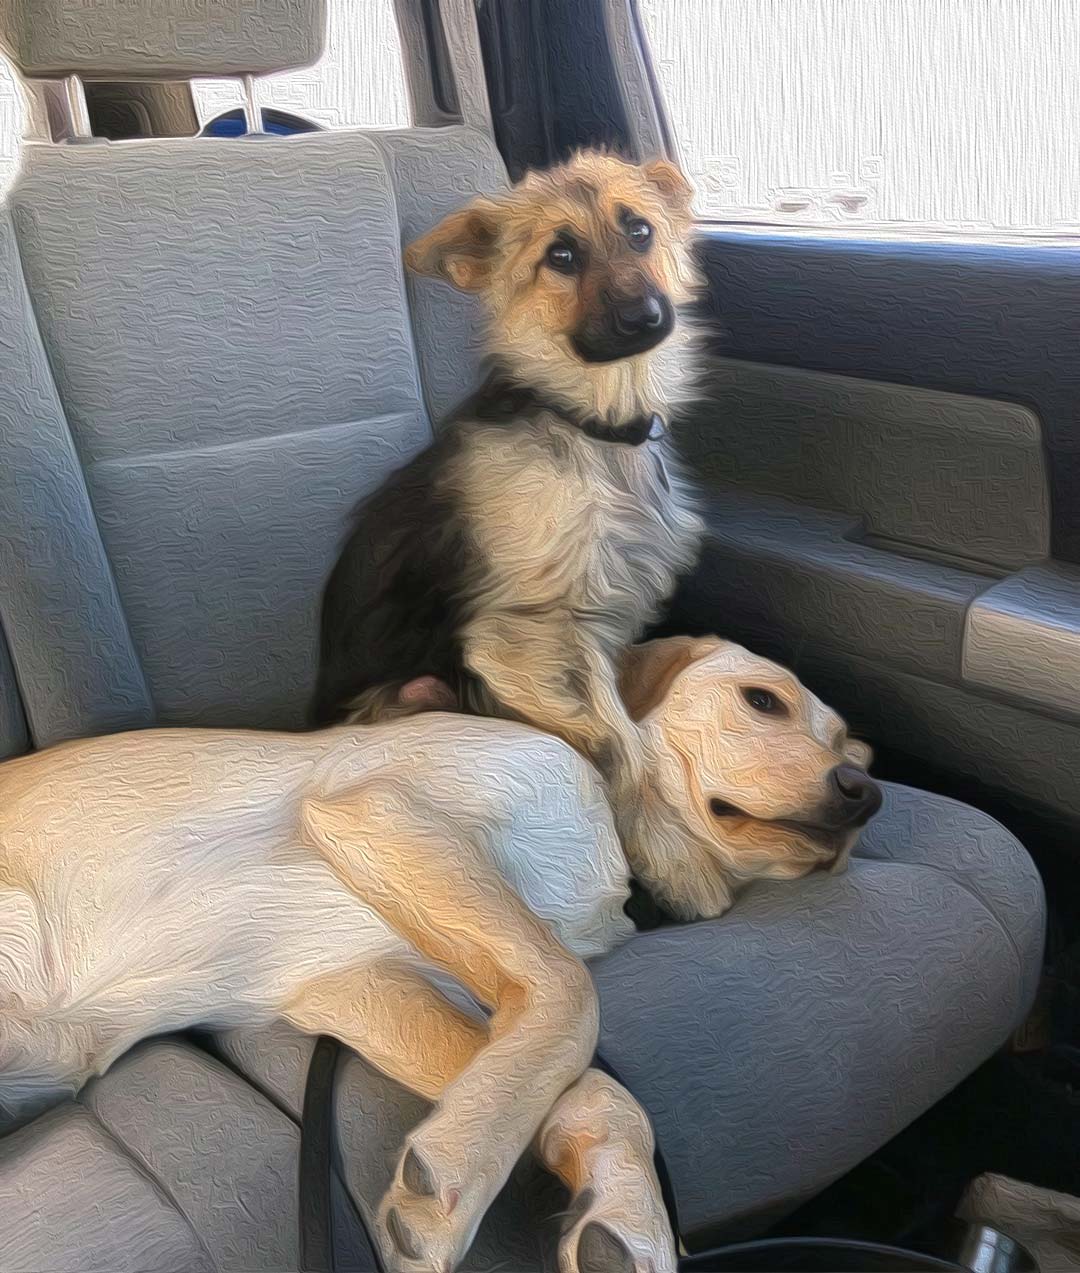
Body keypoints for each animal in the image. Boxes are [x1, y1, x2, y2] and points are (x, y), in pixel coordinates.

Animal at [0, 636, 876, 1273]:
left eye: (856, 747)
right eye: (762, 700)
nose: (866, 791)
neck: (620, 828)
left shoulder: (364, 983)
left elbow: (586, 1084)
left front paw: (624, 1214)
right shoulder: (382, 811)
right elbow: (572, 1000)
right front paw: (457, 1176)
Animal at [309, 154, 708, 916]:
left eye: (640, 231)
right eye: (561, 256)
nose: (645, 318)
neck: (587, 424)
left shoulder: (589, 630)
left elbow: (621, 722)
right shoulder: (524, 633)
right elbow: (620, 741)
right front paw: (674, 859)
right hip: (418, 695)